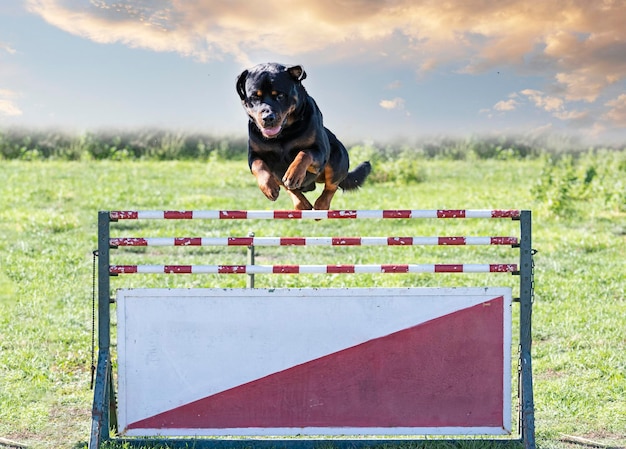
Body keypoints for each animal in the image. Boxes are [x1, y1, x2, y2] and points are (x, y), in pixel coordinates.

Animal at [236, 61, 368, 210]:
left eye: (280, 96)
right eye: (254, 97)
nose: (268, 117)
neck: (283, 134)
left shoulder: (319, 151)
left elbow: (304, 153)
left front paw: (293, 174)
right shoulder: (254, 154)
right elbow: (258, 166)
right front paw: (269, 187)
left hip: (338, 158)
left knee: (332, 185)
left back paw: (321, 204)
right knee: (289, 188)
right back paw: (301, 203)